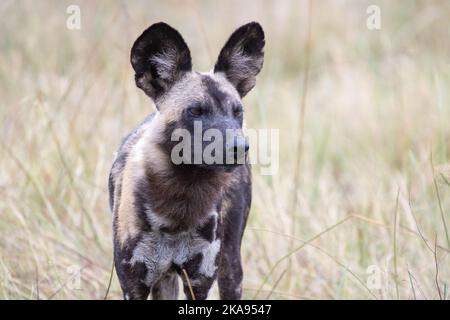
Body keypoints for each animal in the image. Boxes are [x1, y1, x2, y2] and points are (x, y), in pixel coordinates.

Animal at [108, 21, 264, 298]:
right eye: (196, 111)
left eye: (237, 112)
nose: (240, 147)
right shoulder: (134, 285)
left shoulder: (200, 281)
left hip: (230, 266)